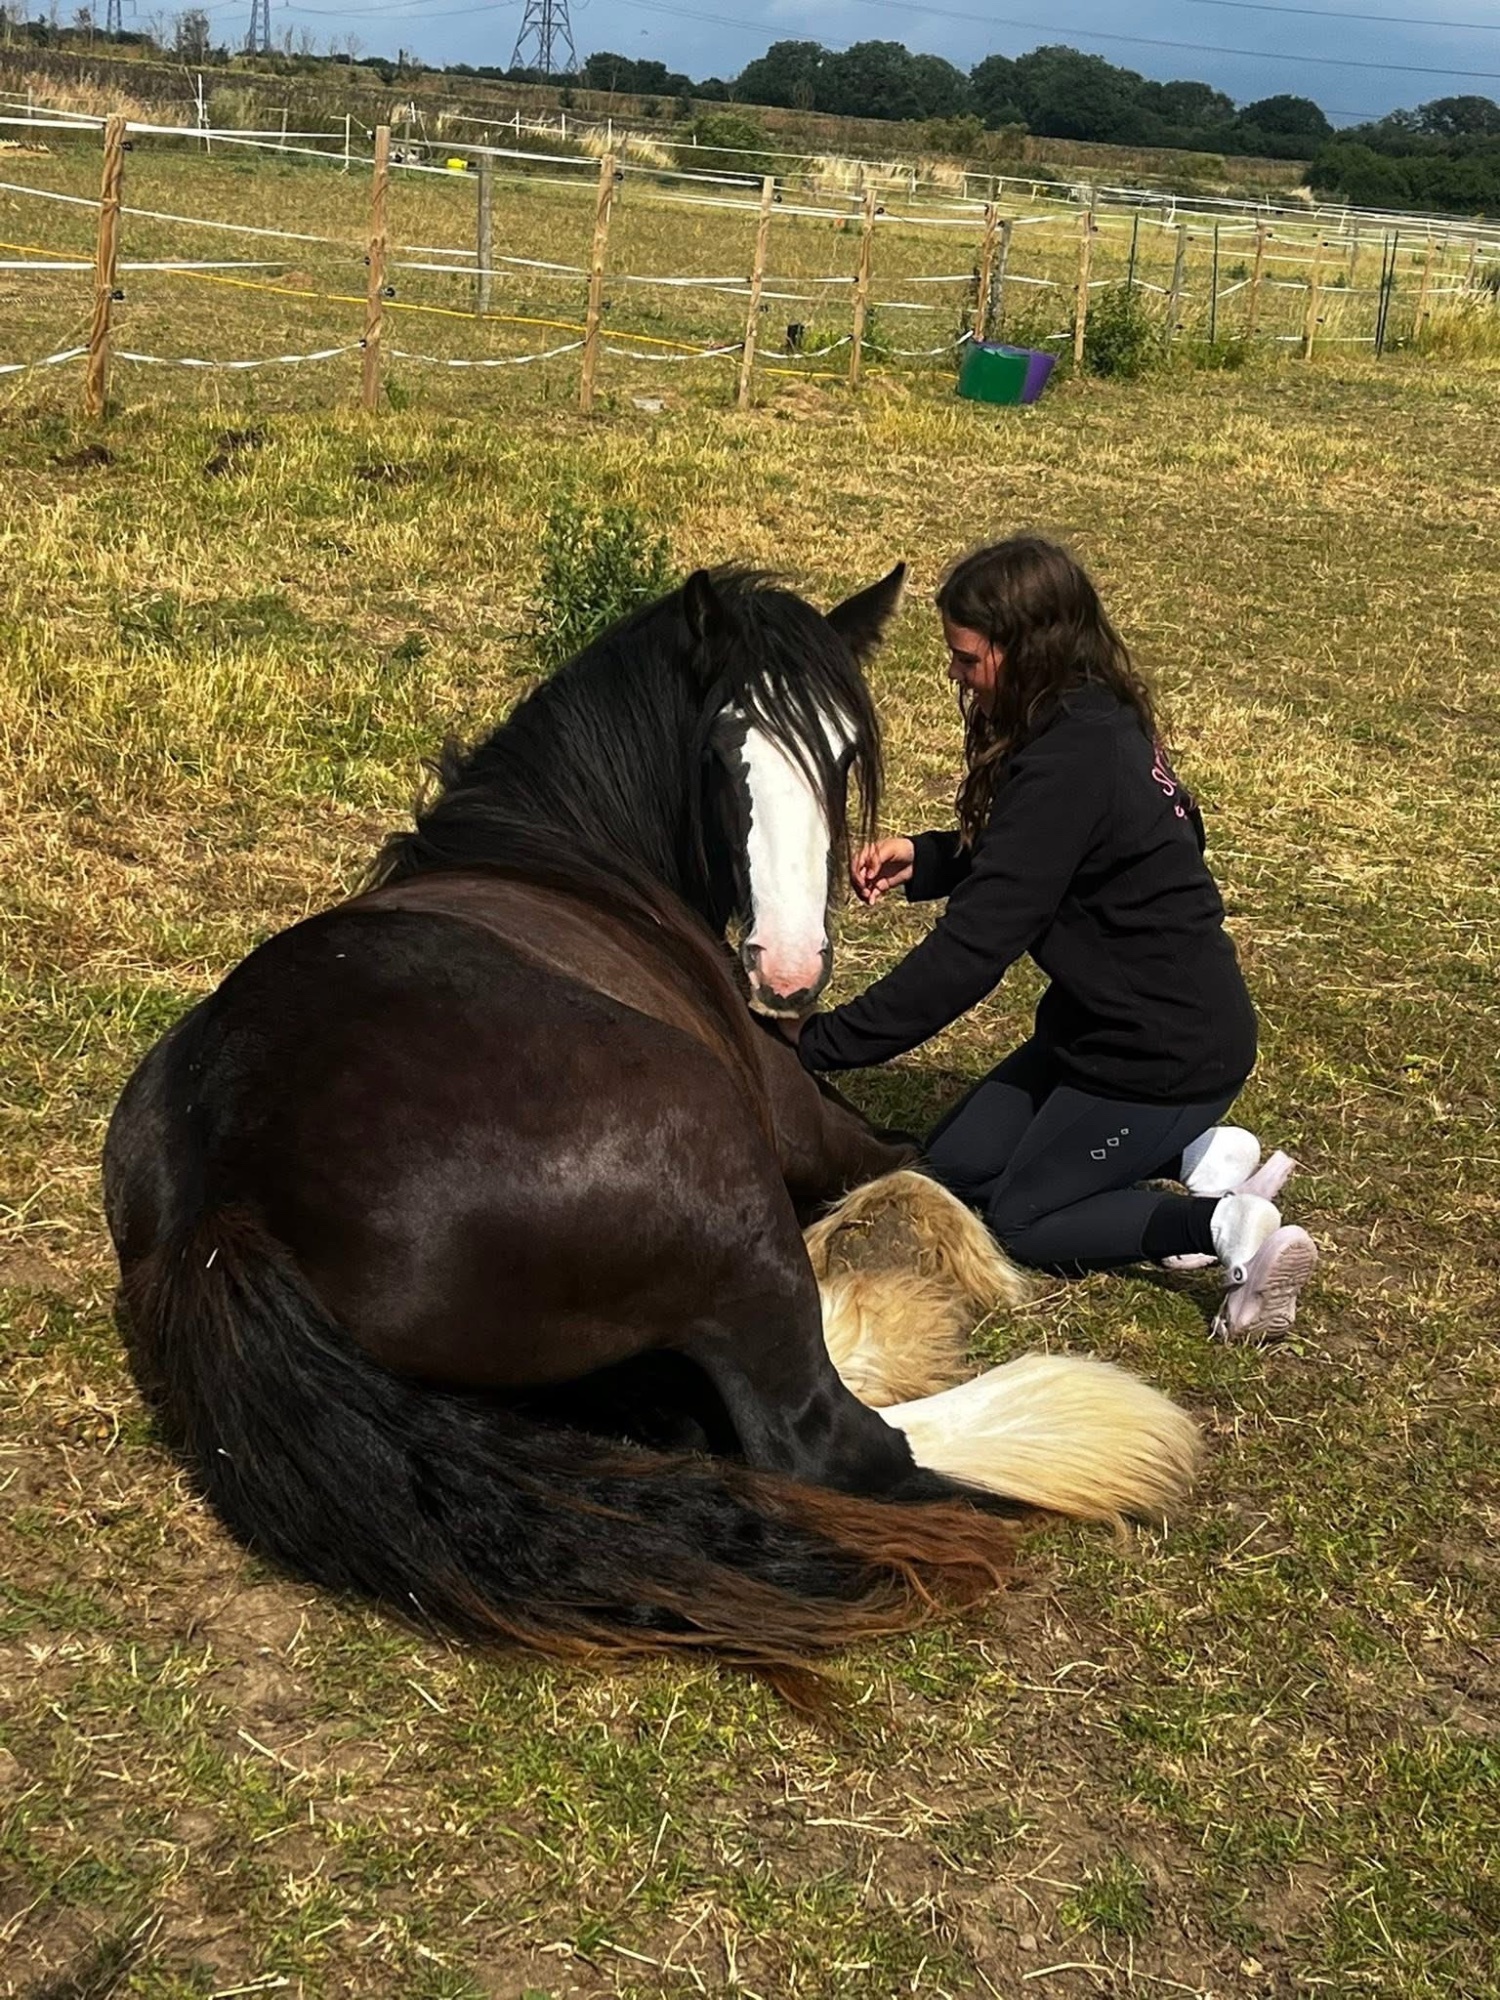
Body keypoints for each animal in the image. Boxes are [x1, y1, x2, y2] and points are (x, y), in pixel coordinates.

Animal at [104, 566, 1200, 1676]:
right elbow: (925, 1168)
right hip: (732, 1197)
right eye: (723, 752)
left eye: (843, 750)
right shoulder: (809, 1128)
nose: (789, 973)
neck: (565, 854)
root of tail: (224, 1202)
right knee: (828, 1439)